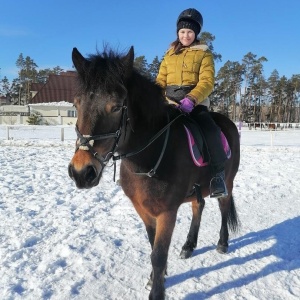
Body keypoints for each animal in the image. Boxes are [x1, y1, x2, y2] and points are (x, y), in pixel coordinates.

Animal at [68, 45, 241, 298]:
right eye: (76, 104)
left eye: (117, 106)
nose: (82, 172)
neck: (150, 154)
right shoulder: (143, 209)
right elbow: (152, 247)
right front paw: (154, 278)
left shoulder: (167, 212)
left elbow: (158, 255)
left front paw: (157, 290)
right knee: (198, 207)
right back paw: (189, 245)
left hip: (226, 181)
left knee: (224, 207)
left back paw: (222, 243)